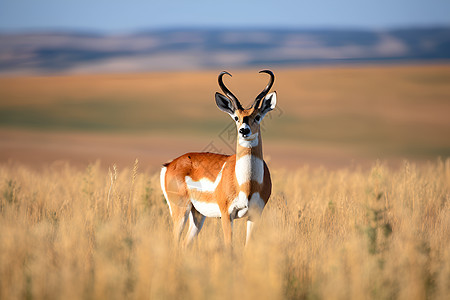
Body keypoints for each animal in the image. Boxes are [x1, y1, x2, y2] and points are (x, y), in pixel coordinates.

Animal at [160, 69, 276, 246]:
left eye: (257, 116)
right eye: (236, 117)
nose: (244, 130)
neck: (247, 184)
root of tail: (170, 164)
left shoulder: (255, 215)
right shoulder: (227, 214)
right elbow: (229, 246)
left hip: (197, 215)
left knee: (185, 244)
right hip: (180, 211)